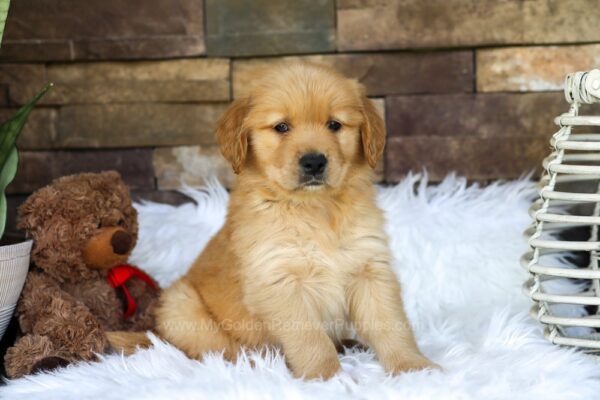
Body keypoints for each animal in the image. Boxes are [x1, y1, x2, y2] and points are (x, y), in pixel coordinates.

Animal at [109, 61, 436, 378]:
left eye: (334, 125)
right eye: (281, 127)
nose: (314, 162)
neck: (313, 208)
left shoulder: (369, 269)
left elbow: (391, 324)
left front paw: (413, 368)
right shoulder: (279, 279)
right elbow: (310, 339)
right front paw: (328, 377)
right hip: (181, 306)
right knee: (219, 351)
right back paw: (258, 361)